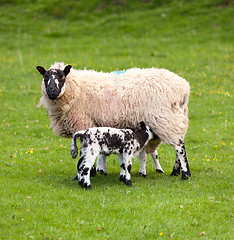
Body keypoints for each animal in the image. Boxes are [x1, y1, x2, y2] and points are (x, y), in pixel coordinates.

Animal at [36, 62, 190, 180]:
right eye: (45, 77)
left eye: (62, 76)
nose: (51, 91)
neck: (76, 88)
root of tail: (184, 87)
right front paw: (97, 171)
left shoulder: (83, 123)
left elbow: (85, 153)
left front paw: (89, 173)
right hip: (176, 118)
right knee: (179, 144)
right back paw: (175, 172)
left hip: (165, 119)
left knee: (179, 147)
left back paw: (185, 174)